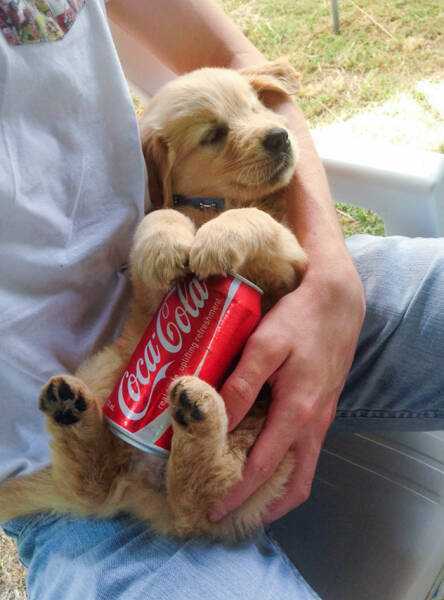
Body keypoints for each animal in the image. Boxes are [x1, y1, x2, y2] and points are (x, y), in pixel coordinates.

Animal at [0, 61, 306, 544]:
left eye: (254, 106)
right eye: (213, 135)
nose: (279, 136)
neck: (210, 205)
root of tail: (142, 488)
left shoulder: (289, 264)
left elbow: (255, 219)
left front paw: (218, 238)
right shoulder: (147, 289)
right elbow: (159, 217)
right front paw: (168, 245)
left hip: (263, 445)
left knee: (201, 497)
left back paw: (194, 413)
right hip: (108, 366)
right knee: (97, 485)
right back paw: (74, 410)